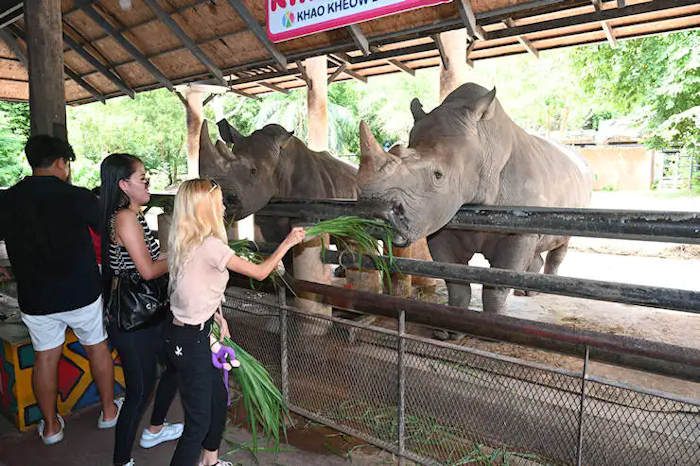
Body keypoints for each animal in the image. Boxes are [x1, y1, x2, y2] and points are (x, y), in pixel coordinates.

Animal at [358, 83, 593, 315]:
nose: (375, 209)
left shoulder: (520, 230)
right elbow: (456, 283)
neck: (485, 145)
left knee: (562, 242)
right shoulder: (443, 223)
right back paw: (526, 293)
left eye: (438, 175)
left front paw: (494, 321)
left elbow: (496, 288)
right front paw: (452, 320)